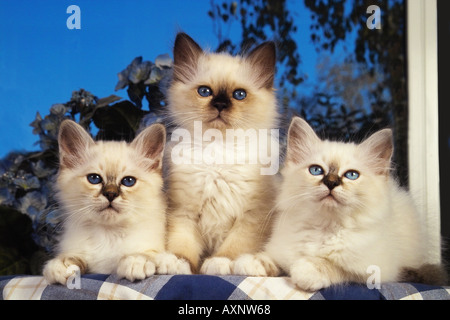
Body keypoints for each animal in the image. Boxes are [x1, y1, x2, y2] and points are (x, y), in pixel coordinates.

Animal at [43, 120, 172, 284]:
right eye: (94, 179)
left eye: (128, 181)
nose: (111, 194)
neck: (108, 234)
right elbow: (74, 257)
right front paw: (61, 265)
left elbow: (147, 253)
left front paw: (136, 261)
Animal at [162, 32, 280, 274]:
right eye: (205, 92)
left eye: (239, 95)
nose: (220, 104)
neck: (218, 150)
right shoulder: (183, 212)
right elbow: (182, 245)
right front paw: (177, 262)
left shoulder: (251, 217)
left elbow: (233, 247)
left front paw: (221, 263)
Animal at [236, 117, 446, 290]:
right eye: (316, 170)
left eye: (351, 175)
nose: (331, 182)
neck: (324, 228)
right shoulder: (282, 251)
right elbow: (273, 260)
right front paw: (250, 262)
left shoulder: (374, 271)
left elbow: (335, 267)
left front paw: (306, 271)